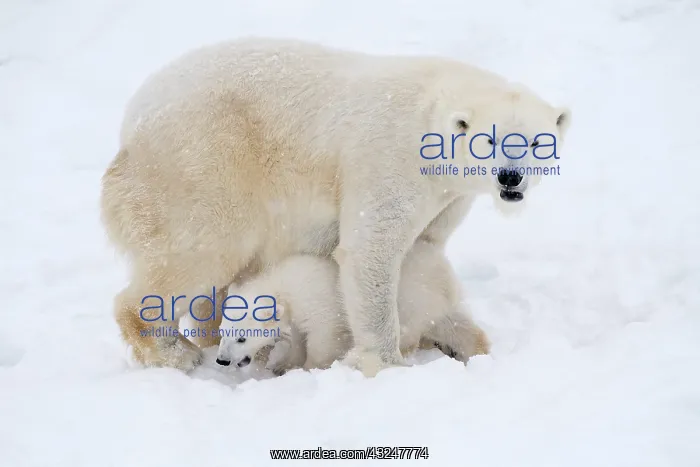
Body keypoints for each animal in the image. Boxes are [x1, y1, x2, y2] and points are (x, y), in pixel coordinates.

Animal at [215, 239, 489, 374]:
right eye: (222, 333)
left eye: (242, 338)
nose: (222, 361)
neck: (283, 284)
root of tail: (443, 275)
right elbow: (297, 337)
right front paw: (284, 364)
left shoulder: (319, 305)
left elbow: (323, 340)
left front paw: (309, 368)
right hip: (433, 303)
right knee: (456, 325)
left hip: (412, 298)